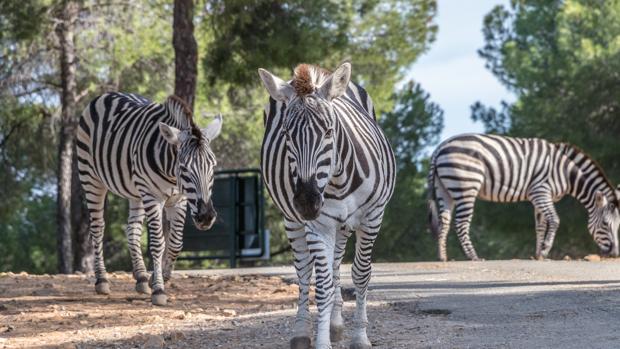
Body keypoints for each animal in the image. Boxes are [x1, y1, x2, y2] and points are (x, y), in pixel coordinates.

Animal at [76, 92, 223, 304]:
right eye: (184, 168)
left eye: (213, 166)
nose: (206, 217)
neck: (172, 174)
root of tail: (107, 94)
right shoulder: (153, 197)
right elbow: (157, 243)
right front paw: (159, 289)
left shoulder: (179, 200)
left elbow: (175, 243)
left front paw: (160, 277)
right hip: (91, 179)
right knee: (97, 228)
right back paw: (102, 280)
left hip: (136, 192)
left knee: (132, 229)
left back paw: (141, 278)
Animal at [258, 63, 394, 348]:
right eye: (286, 134)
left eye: (329, 132)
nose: (307, 202)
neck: (338, 181)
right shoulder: (318, 225)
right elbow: (321, 286)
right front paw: (320, 340)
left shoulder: (372, 216)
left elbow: (361, 274)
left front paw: (360, 337)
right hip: (293, 219)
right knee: (303, 270)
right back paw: (302, 331)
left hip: (343, 225)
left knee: (336, 264)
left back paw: (336, 323)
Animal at [426, 133, 620, 260]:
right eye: (605, 224)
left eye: (618, 225)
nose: (616, 254)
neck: (565, 172)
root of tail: (440, 147)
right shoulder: (540, 191)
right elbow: (555, 220)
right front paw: (545, 251)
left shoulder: (540, 198)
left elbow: (540, 226)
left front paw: (538, 254)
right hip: (466, 185)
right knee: (461, 224)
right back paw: (474, 257)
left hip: (445, 189)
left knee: (444, 222)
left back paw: (442, 257)